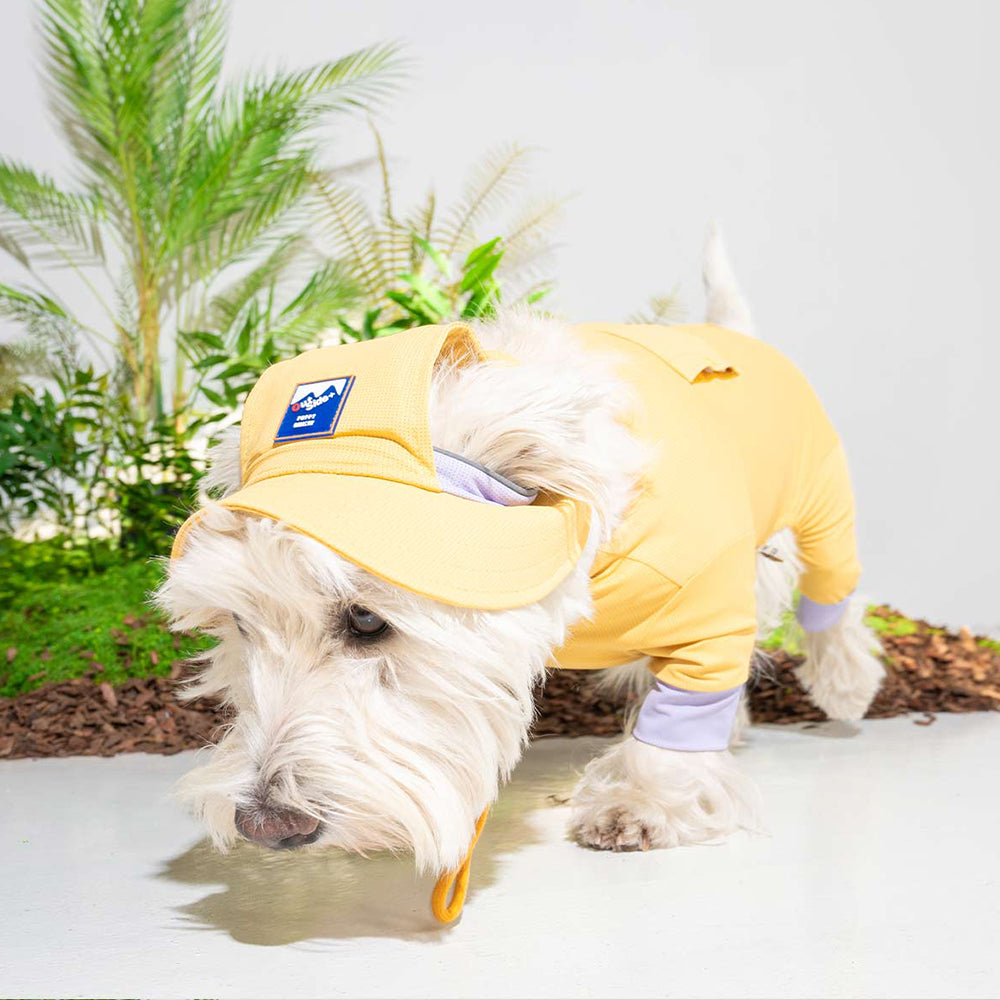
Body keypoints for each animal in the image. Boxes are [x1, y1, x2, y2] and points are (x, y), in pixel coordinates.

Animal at [157, 228, 884, 873]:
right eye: (239, 624)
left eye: (365, 621)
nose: (266, 825)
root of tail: (735, 333)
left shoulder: (708, 618)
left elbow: (678, 721)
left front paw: (639, 802)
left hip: (823, 506)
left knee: (834, 601)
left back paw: (846, 683)